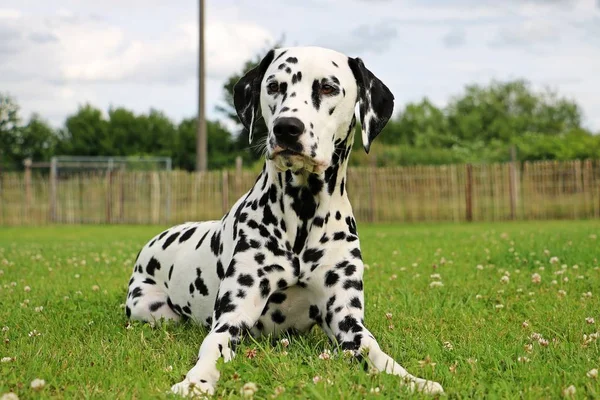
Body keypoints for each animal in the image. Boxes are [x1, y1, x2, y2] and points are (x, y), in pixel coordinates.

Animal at [125, 47, 446, 396]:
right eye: (274, 86)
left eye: (328, 88)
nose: (287, 128)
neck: (303, 214)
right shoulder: (232, 316)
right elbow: (214, 345)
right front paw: (196, 382)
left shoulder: (346, 319)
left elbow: (375, 350)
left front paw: (412, 380)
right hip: (150, 309)